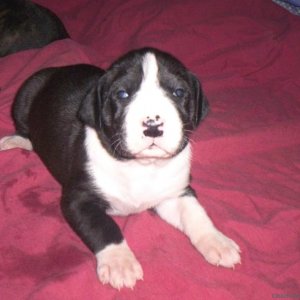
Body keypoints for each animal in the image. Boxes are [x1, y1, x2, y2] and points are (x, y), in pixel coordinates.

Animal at [0, 48, 240, 290]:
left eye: (179, 92)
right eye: (123, 94)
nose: (153, 125)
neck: (141, 165)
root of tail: (60, 70)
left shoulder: (175, 193)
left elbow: (196, 214)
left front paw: (217, 241)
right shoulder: (78, 200)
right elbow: (103, 226)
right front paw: (120, 262)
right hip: (27, 93)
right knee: (24, 127)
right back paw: (15, 141)